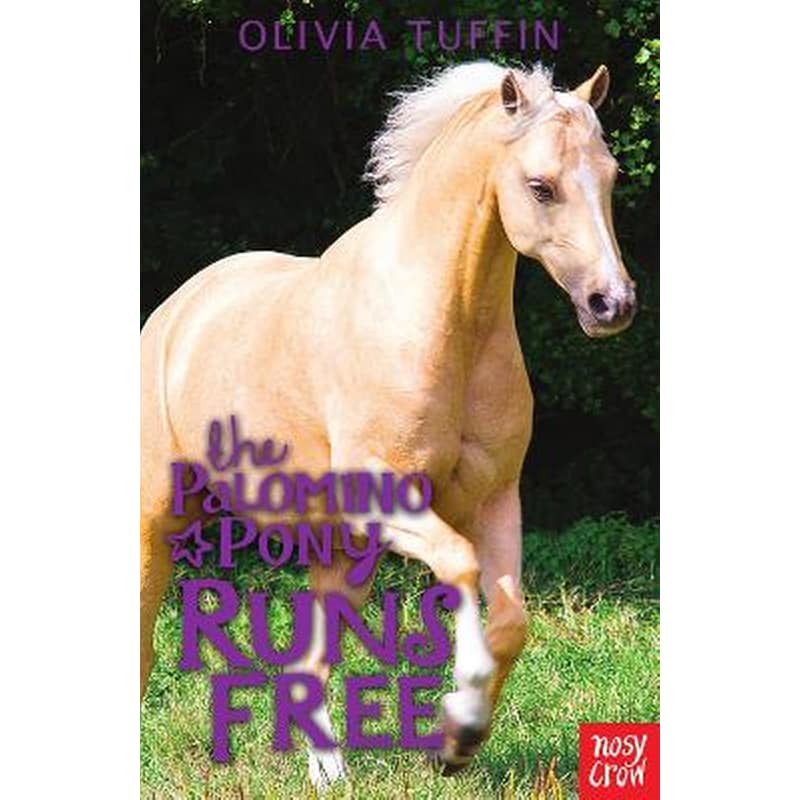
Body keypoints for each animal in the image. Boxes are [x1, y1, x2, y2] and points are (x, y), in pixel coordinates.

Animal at [140, 61, 637, 786]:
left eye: (610, 176)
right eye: (540, 186)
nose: (611, 304)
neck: (446, 324)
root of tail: (177, 310)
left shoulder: (494, 501)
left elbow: (511, 619)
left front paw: (457, 745)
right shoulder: (394, 502)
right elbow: (460, 567)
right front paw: (458, 724)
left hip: (343, 550)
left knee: (311, 662)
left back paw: (329, 774)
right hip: (160, 516)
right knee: (144, 634)